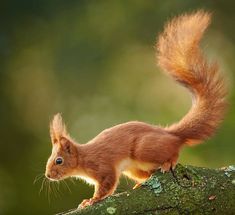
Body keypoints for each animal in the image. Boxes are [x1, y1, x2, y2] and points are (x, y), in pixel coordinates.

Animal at [44, 10, 226, 209]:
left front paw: (92, 200)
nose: (48, 175)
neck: (83, 159)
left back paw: (168, 163)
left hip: (144, 148)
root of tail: (171, 134)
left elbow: (107, 184)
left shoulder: (103, 166)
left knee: (174, 150)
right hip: (134, 169)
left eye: (59, 160)